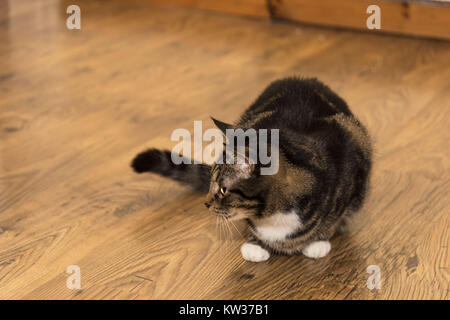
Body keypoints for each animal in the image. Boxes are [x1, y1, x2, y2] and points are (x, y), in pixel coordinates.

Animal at [133, 78, 372, 262]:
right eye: (212, 184)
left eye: (222, 189)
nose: (206, 203)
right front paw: (255, 244)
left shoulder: (352, 170)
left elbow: (333, 218)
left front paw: (318, 241)